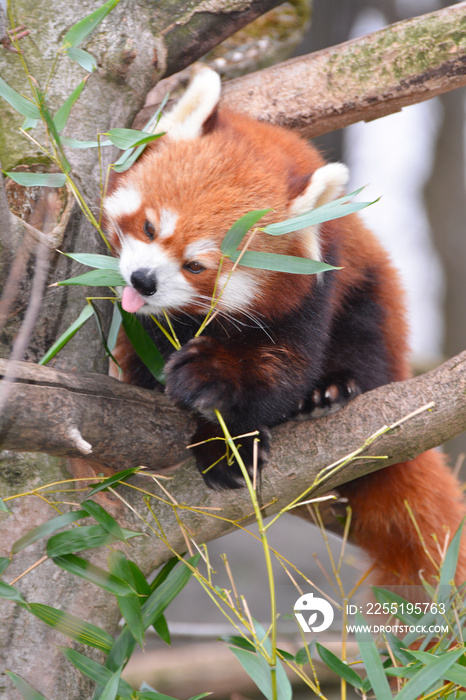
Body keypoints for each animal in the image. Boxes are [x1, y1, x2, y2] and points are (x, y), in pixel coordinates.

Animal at [104, 68, 466, 588]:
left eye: (197, 265)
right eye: (150, 227)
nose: (142, 281)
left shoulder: (317, 288)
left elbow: (277, 370)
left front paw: (219, 414)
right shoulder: (137, 329)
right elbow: (143, 360)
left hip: (373, 301)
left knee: (367, 346)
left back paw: (331, 392)